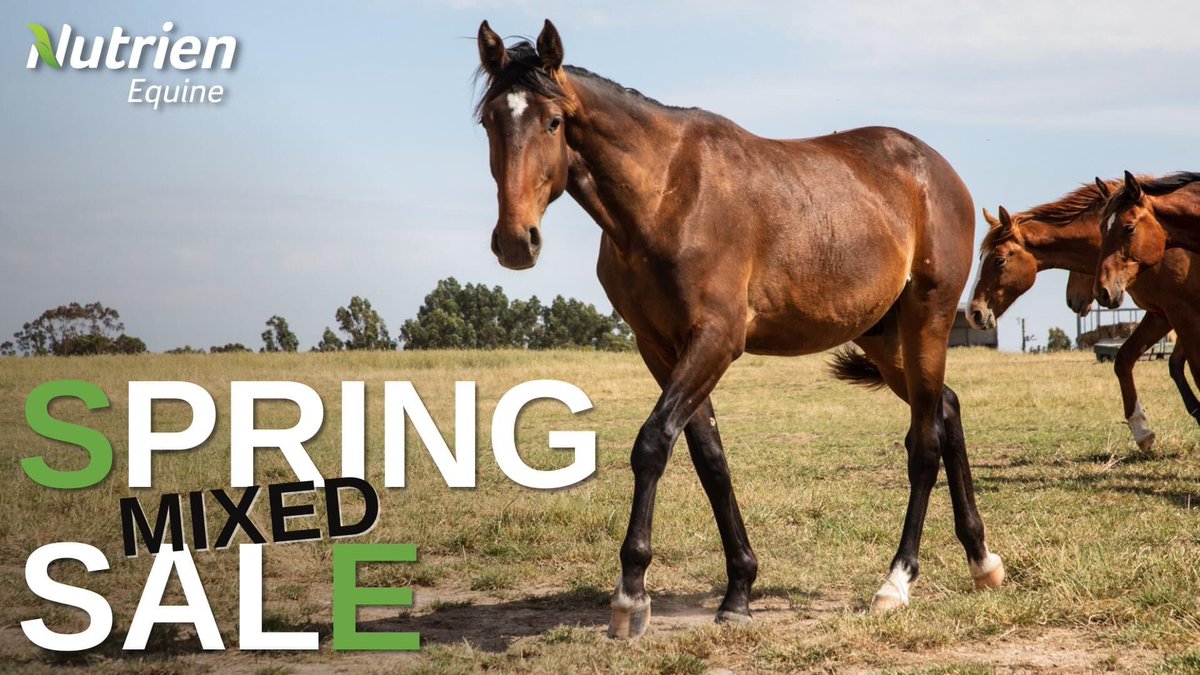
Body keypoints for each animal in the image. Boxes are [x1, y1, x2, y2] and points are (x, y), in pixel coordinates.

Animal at [474, 19, 1004, 638]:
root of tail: (939, 172)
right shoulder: (661, 348)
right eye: (490, 121)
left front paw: (631, 594)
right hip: (884, 336)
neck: (667, 196)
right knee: (946, 409)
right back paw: (982, 561)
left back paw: (896, 581)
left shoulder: (716, 341)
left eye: (553, 122)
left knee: (924, 444)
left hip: (927, 322)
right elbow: (710, 459)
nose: (516, 241)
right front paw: (739, 590)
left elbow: (653, 443)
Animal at [967, 181, 1200, 448]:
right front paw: (1142, 430)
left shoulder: (1180, 313)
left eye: (999, 260)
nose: (973, 312)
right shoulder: (1162, 315)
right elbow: (1126, 360)